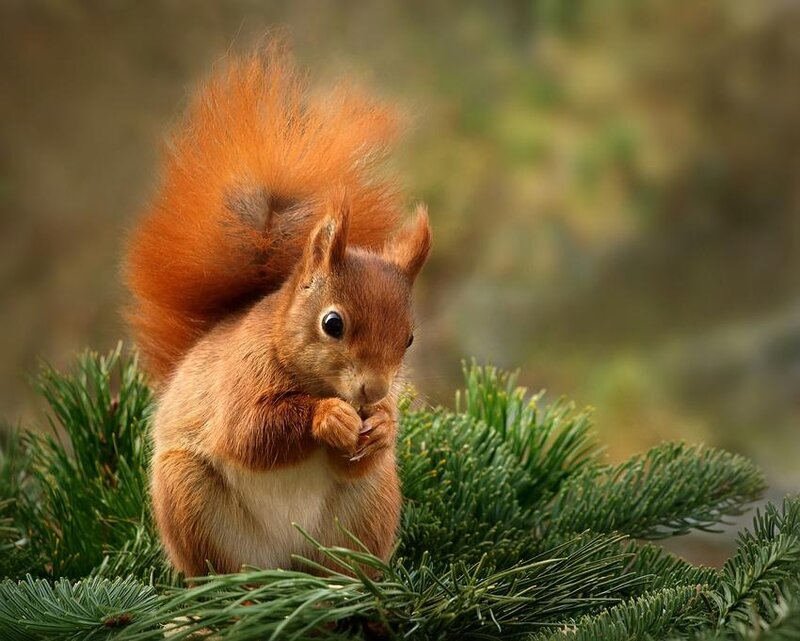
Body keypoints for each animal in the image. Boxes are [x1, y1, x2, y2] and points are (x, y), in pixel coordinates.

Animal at [124, 42, 431, 576]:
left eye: (409, 338)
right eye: (332, 323)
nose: (373, 392)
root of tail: (287, 562)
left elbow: (362, 454)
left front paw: (382, 427)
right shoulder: (240, 379)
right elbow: (250, 432)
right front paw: (328, 418)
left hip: (369, 508)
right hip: (189, 496)